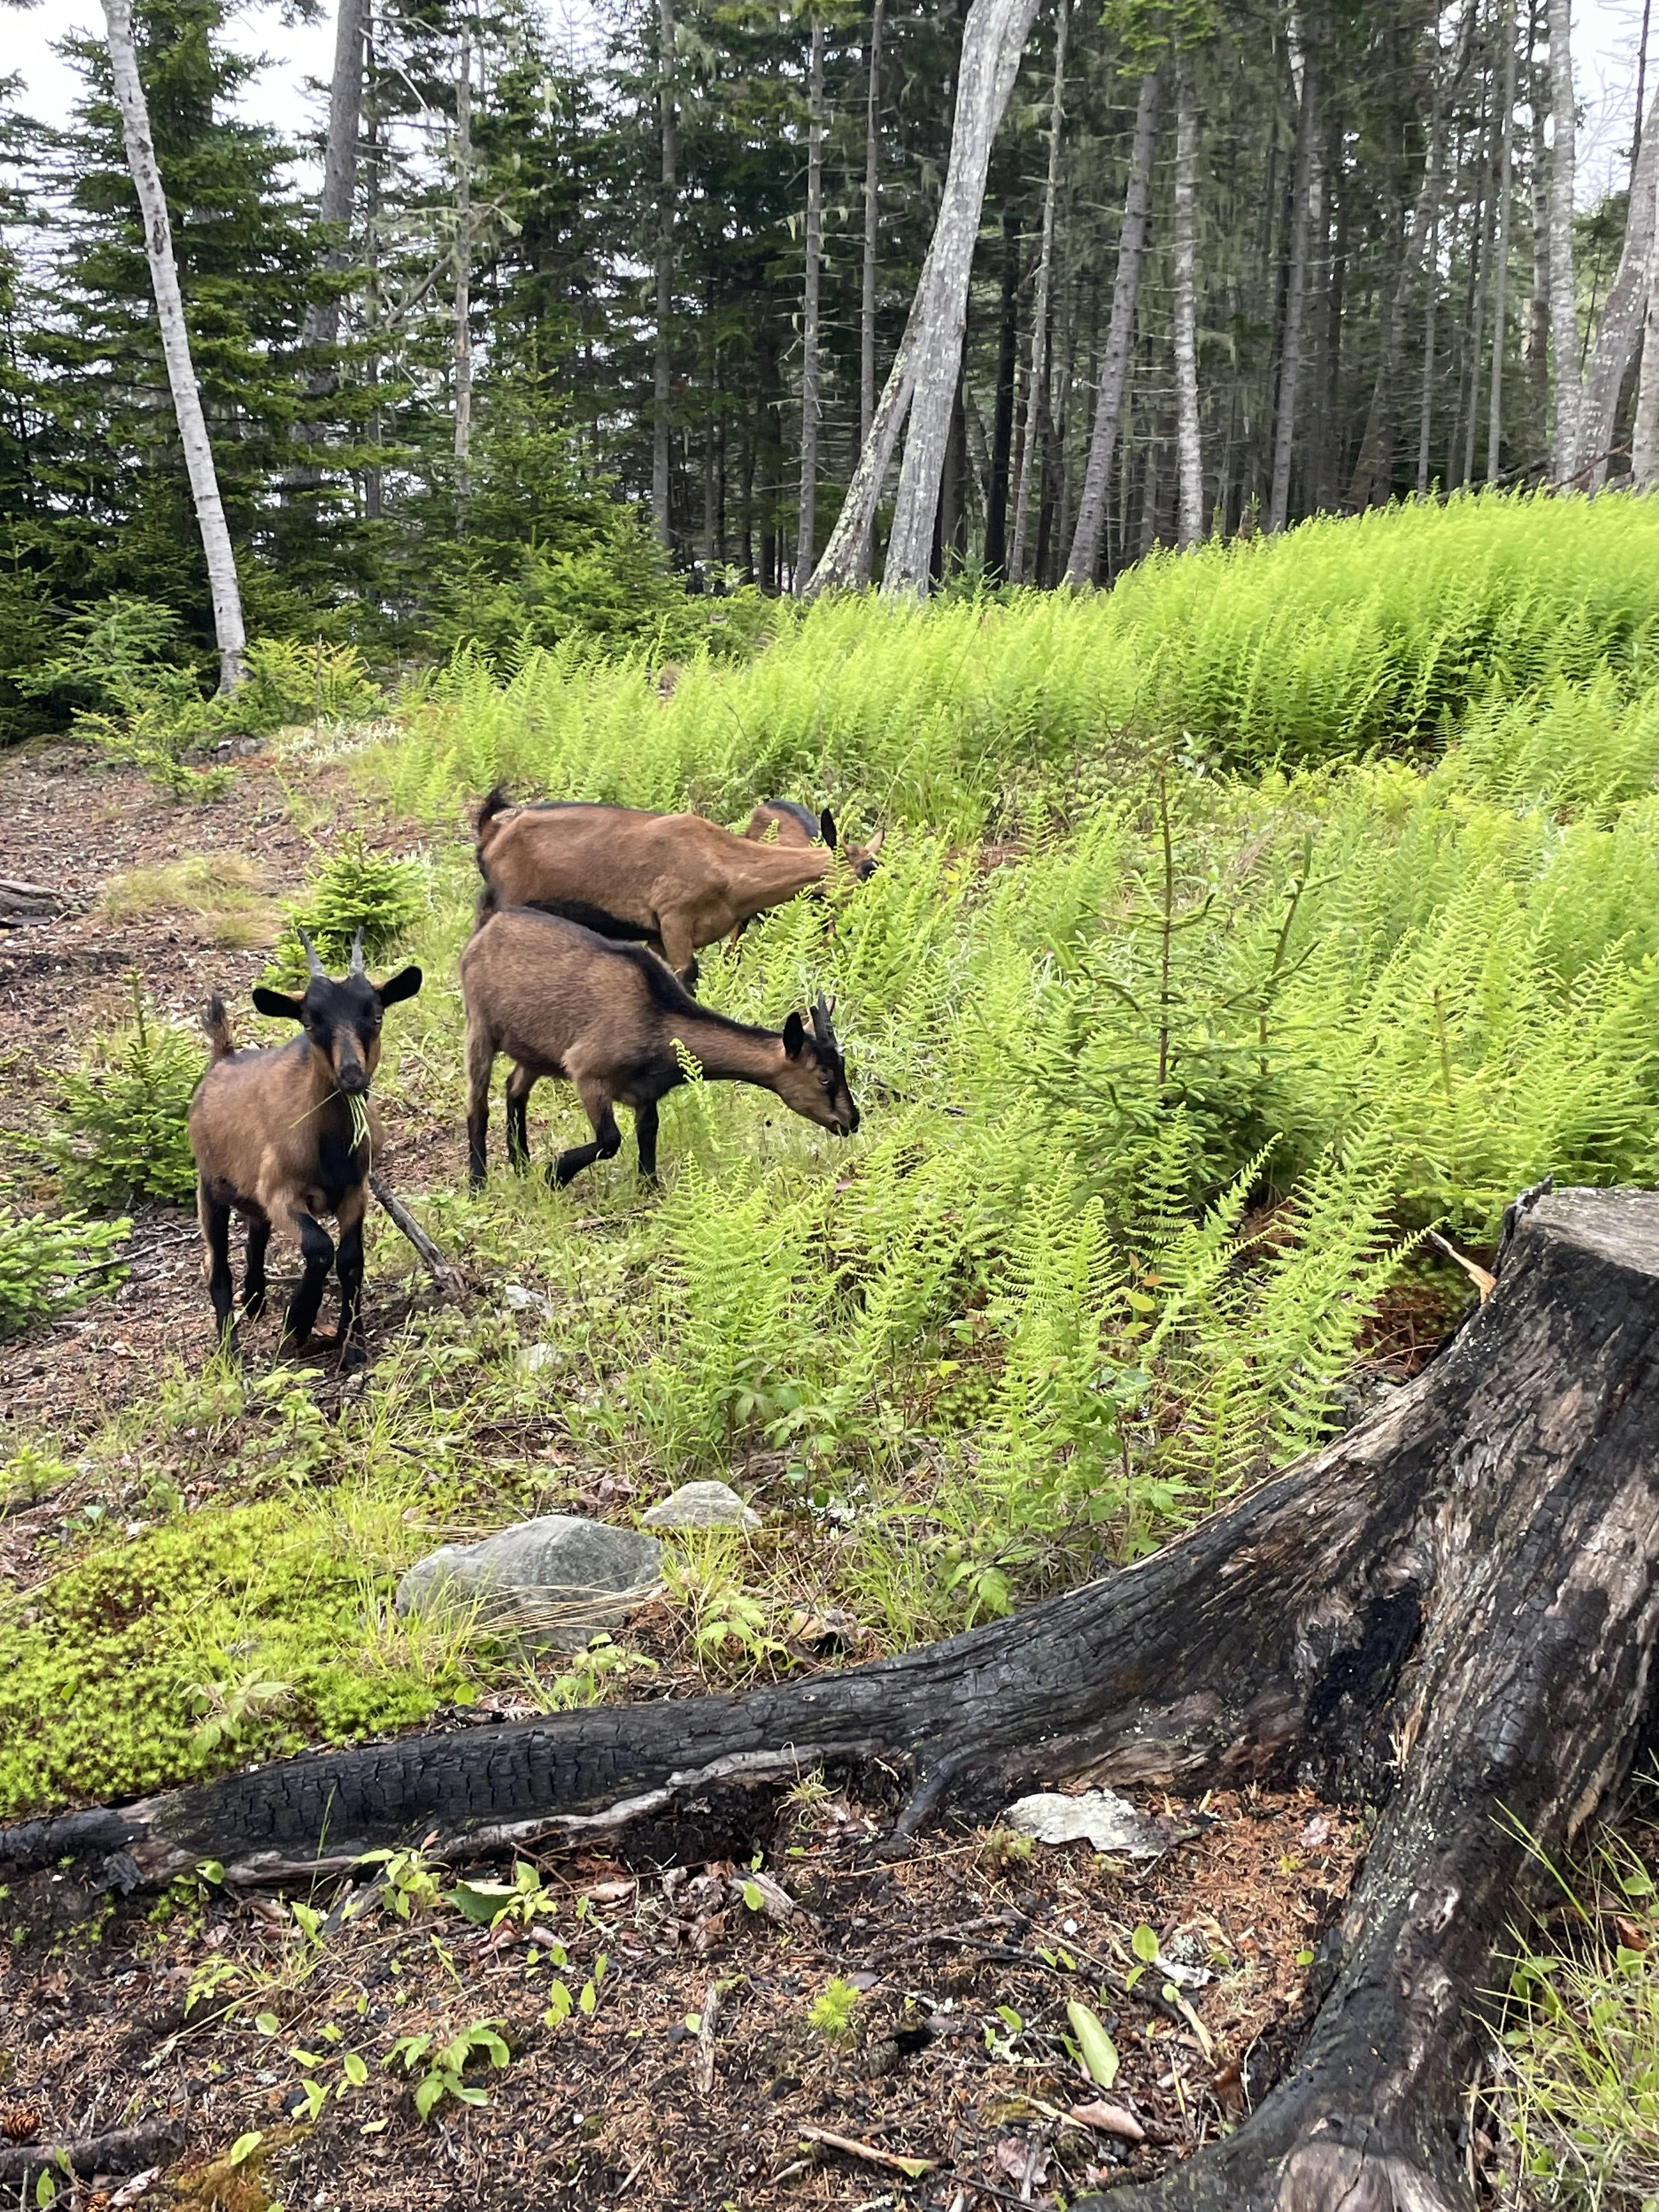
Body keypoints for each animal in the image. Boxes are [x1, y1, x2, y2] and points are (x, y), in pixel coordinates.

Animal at [188, 928, 422, 1368]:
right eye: (311, 1023)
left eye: (377, 1016)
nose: (352, 1075)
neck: (328, 1146)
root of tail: (221, 1060)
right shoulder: (283, 1194)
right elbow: (319, 1247)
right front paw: (297, 1323)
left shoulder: (354, 1193)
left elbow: (351, 1260)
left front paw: (353, 1345)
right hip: (209, 1188)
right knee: (217, 1267)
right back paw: (230, 1349)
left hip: (250, 1195)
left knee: (256, 1234)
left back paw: (256, 1299)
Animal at [461, 898, 858, 1188]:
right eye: (824, 1077)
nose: (851, 1121)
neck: (657, 1017)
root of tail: (488, 927)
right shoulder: (588, 1071)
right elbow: (610, 1140)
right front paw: (555, 1173)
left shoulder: (646, 1093)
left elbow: (648, 1135)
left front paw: (649, 1190)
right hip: (480, 1026)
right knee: (478, 1105)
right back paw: (479, 1182)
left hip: (534, 1049)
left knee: (515, 1088)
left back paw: (521, 1165)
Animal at [474, 788, 882, 991]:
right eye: (866, 870)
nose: (866, 924)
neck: (726, 864)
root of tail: (493, 834)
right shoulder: (674, 919)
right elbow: (688, 981)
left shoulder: (659, 936)